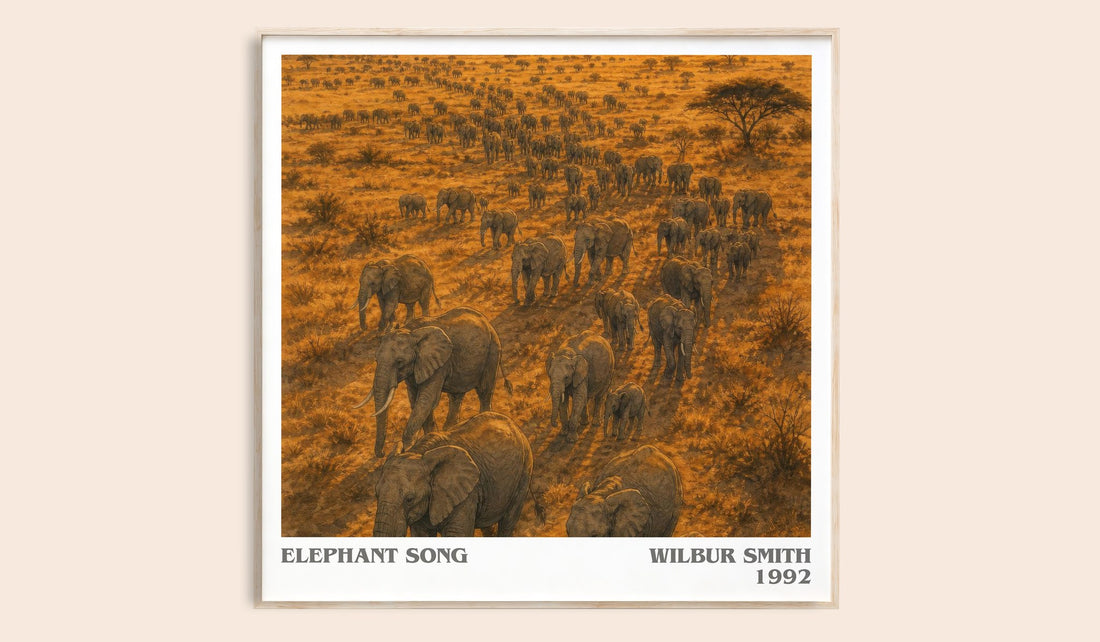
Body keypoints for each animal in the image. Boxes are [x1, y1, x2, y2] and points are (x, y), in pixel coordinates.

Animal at [354, 307, 510, 458]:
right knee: (456, 395)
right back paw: (450, 428)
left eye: (399, 362)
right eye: (376, 360)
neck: (411, 332)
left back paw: (484, 417)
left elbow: (426, 399)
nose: (382, 454)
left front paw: (408, 447)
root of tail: (487, 321)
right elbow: (416, 399)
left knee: (484, 390)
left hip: (493, 350)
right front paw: (426, 438)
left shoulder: (439, 364)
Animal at [372, 412, 532, 537]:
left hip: (525, 471)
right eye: (376, 495)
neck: (418, 452)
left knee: (508, 520)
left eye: (410, 499)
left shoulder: (467, 496)